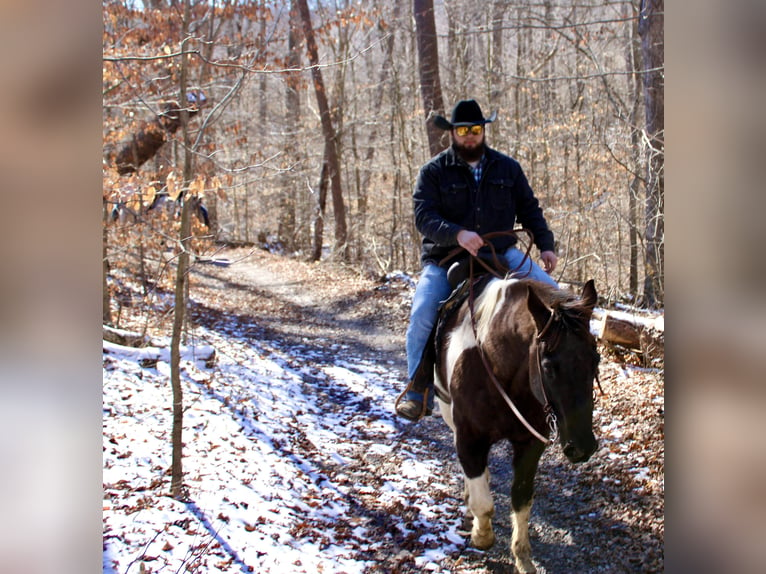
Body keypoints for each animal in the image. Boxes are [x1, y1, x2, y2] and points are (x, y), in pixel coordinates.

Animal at [436, 276, 604, 572]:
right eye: (548, 366)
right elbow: (483, 502)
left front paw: (523, 556)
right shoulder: (469, 438)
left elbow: (521, 499)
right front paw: (482, 535)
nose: (582, 447)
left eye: (595, 359)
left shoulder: (529, 443)